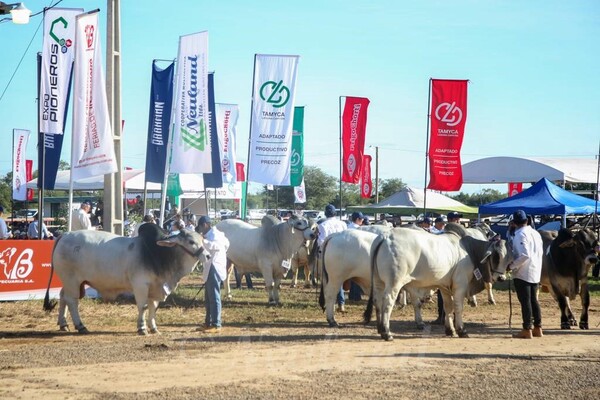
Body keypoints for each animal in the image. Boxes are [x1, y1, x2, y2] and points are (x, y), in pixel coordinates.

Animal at [44, 225, 206, 334]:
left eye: (202, 240)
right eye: (191, 241)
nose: (208, 255)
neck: (159, 253)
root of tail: (65, 234)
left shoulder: (155, 288)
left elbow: (153, 308)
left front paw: (154, 328)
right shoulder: (141, 285)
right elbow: (143, 307)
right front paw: (142, 328)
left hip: (69, 281)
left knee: (63, 297)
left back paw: (63, 324)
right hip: (72, 280)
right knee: (72, 301)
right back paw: (80, 326)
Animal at [360, 225, 510, 340]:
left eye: (507, 256)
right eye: (496, 257)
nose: (502, 278)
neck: (469, 250)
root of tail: (385, 237)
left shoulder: (444, 287)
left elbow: (448, 307)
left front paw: (450, 330)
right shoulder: (460, 285)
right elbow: (458, 308)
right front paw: (461, 330)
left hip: (378, 281)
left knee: (377, 300)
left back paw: (380, 329)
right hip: (394, 283)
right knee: (388, 303)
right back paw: (387, 333)